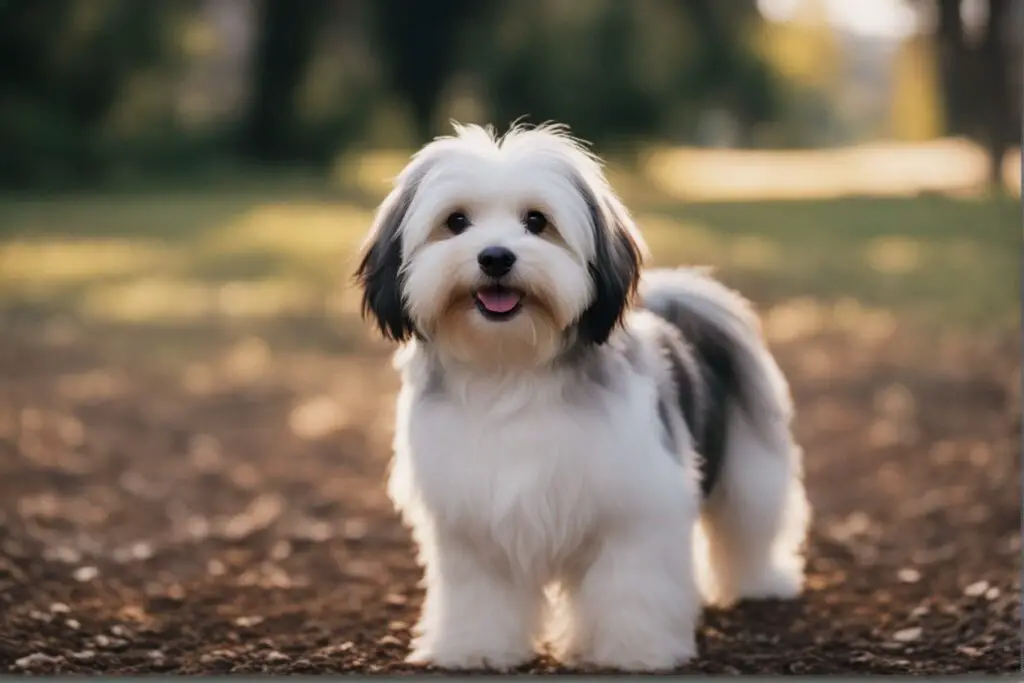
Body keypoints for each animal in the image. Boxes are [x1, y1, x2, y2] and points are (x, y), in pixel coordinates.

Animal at [352, 120, 806, 671]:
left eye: (536, 221)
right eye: (456, 221)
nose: (495, 257)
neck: (512, 371)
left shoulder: (635, 511)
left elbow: (630, 587)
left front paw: (633, 650)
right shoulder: (471, 522)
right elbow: (481, 593)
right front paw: (476, 648)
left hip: (750, 470)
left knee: (749, 527)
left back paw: (763, 582)